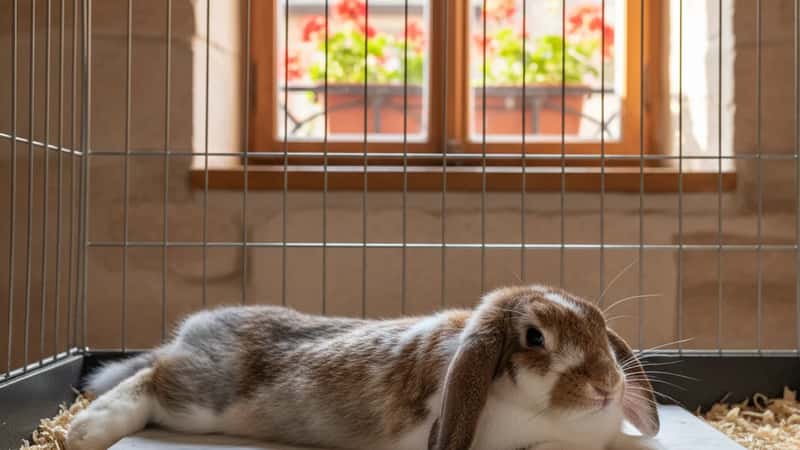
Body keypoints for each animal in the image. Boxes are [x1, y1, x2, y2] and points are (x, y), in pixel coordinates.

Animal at [66, 285, 659, 450]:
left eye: (600, 328)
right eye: (535, 337)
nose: (607, 387)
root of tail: (193, 330)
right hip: (198, 400)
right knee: (150, 379)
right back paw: (85, 431)